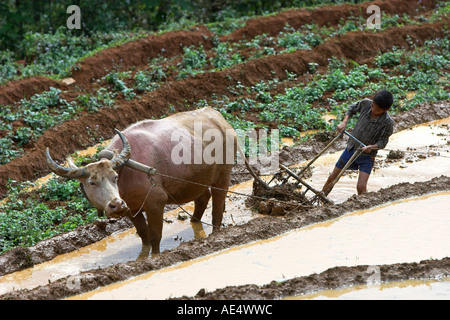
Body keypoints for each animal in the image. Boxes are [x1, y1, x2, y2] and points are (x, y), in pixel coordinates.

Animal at [45, 107, 268, 258]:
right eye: (91, 182)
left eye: (114, 177)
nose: (116, 204)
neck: (126, 170)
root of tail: (219, 118)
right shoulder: (133, 209)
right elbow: (144, 235)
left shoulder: (155, 203)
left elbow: (155, 237)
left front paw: (155, 258)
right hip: (198, 179)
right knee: (202, 198)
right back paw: (195, 223)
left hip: (224, 174)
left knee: (217, 208)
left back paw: (216, 233)